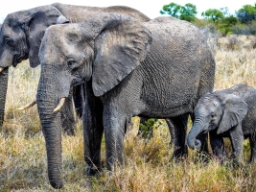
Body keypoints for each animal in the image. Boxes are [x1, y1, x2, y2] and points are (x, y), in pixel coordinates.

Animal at [37, 14, 215, 188]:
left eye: (71, 63)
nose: (61, 185)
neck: (87, 27)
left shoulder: (129, 73)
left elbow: (112, 118)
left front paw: (112, 179)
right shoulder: (96, 73)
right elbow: (91, 118)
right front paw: (92, 175)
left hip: (206, 71)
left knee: (196, 115)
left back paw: (202, 165)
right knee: (178, 120)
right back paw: (176, 164)